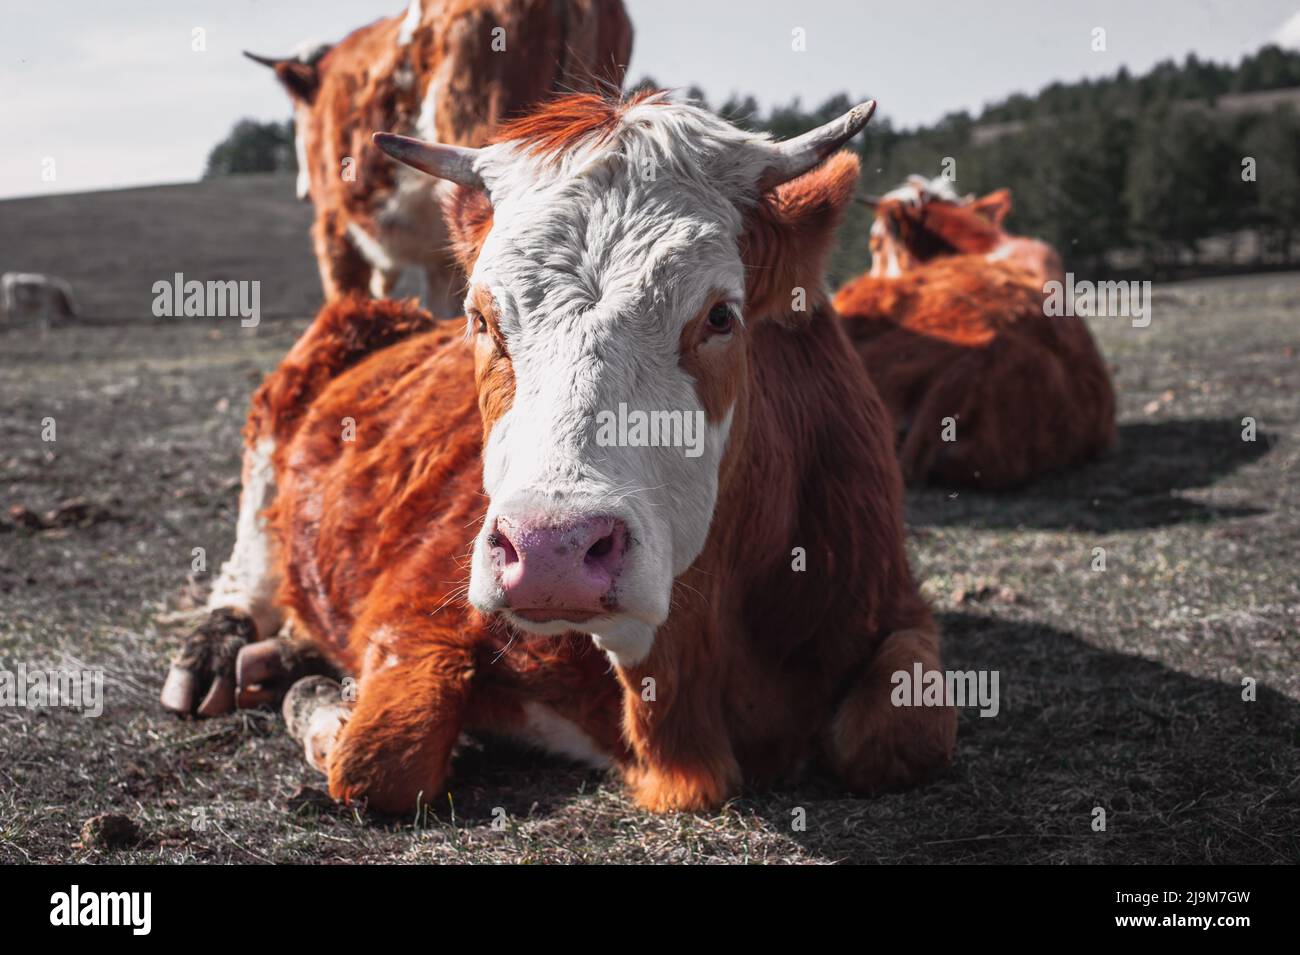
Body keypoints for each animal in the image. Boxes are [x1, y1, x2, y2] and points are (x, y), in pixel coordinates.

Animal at [160, 92, 956, 814]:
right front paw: (322, 697)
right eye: (481, 318)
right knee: (245, 578)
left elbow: (902, 731)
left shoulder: (892, 600)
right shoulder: (412, 608)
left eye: (720, 316)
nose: (552, 550)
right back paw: (221, 653)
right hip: (269, 443)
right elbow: (378, 758)